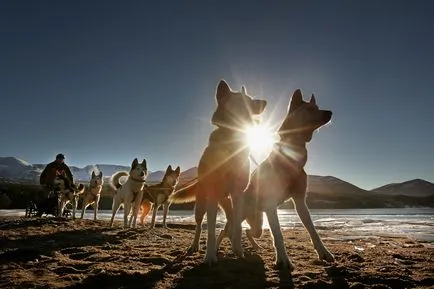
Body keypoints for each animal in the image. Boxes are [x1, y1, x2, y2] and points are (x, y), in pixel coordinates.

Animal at [169, 79, 264, 264]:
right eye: (247, 100)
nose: (264, 102)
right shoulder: (212, 195)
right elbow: (211, 230)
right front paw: (210, 257)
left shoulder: (238, 193)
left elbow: (238, 228)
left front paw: (239, 252)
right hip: (201, 205)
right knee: (199, 226)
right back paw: (194, 246)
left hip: (228, 204)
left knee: (232, 224)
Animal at [217, 89, 336, 268]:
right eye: (310, 109)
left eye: (317, 107)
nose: (330, 112)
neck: (291, 158)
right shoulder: (271, 204)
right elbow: (278, 234)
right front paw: (283, 259)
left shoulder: (300, 201)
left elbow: (312, 230)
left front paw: (324, 252)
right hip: (239, 219)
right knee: (224, 232)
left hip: (258, 225)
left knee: (247, 231)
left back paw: (255, 246)